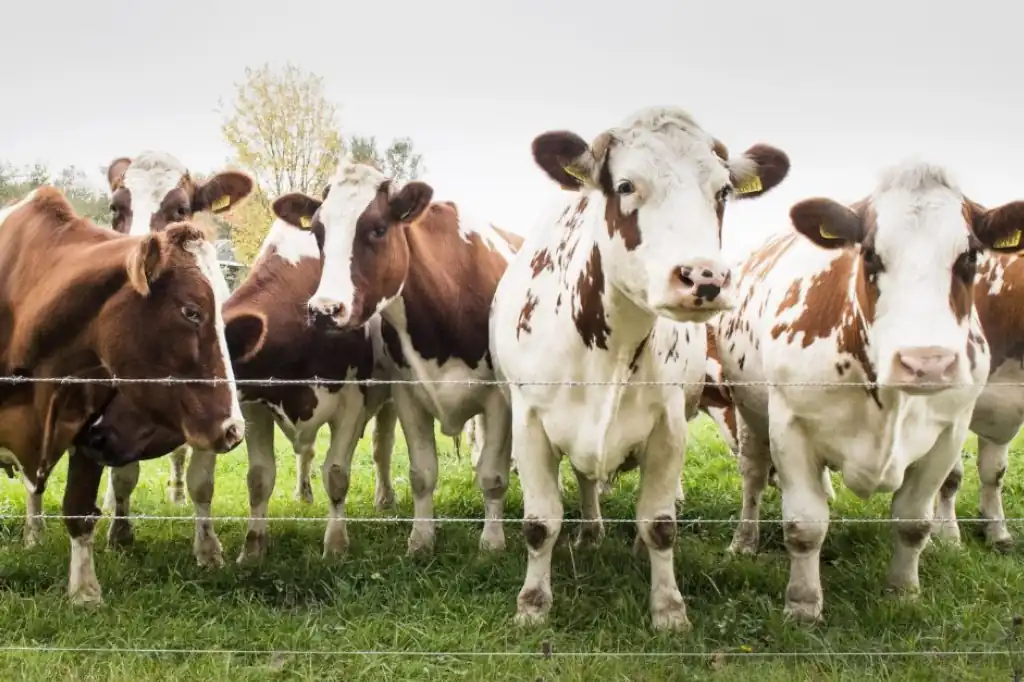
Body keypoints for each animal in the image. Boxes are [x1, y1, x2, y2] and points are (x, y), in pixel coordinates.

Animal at [272, 162, 524, 555]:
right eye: (317, 232)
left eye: (378, 228)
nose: (324, 310)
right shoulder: (407, 393)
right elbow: (422, 473)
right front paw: (420, 540)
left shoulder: (498, 398)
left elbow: (493, 475)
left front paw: (492, 542)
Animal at [489, 105, 790, 631]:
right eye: (627, 185)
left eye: (722, 192)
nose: (704, 277)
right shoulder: (529, 422)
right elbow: (540, 523)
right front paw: (532, 603)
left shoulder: (669, 424)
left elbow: (661, 523)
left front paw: (668, 607)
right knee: (586, 481)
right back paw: (590, 533)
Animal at [714, 161, 1024, 622]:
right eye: (871, 254)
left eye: (970, 257)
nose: (925, 362)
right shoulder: (790, 425)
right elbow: (804, 526)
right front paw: (803, 604)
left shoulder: (949, 432)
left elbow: (914, 520)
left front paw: (904, 590)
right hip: (748, 409)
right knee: (752, 475)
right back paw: (744, 541)